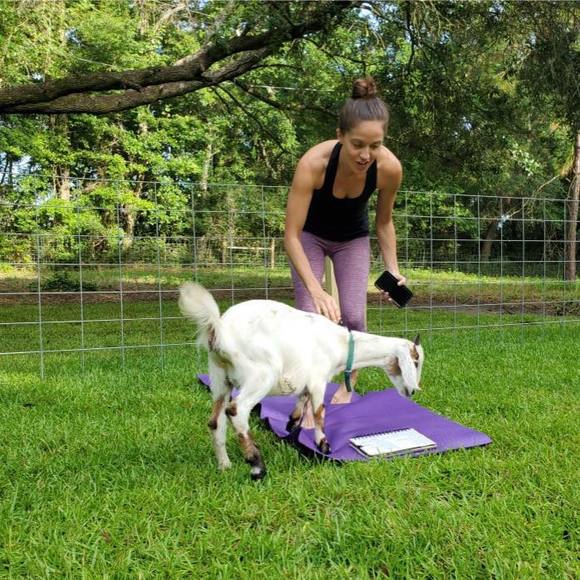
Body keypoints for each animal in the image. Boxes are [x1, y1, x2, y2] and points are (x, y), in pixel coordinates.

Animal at [178, 282, 424, 480]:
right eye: (416, 361)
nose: (412, 391)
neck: (341, 344)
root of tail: (219, 331)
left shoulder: (307, 381)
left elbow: (302, 403)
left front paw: (292, 426)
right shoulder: (318, 380)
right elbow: (319, 412)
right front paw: (323, 444)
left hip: (220, 377)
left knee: (215, 421)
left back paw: (225, 465)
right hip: (261, 374)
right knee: (236, 411)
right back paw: (256, 465)